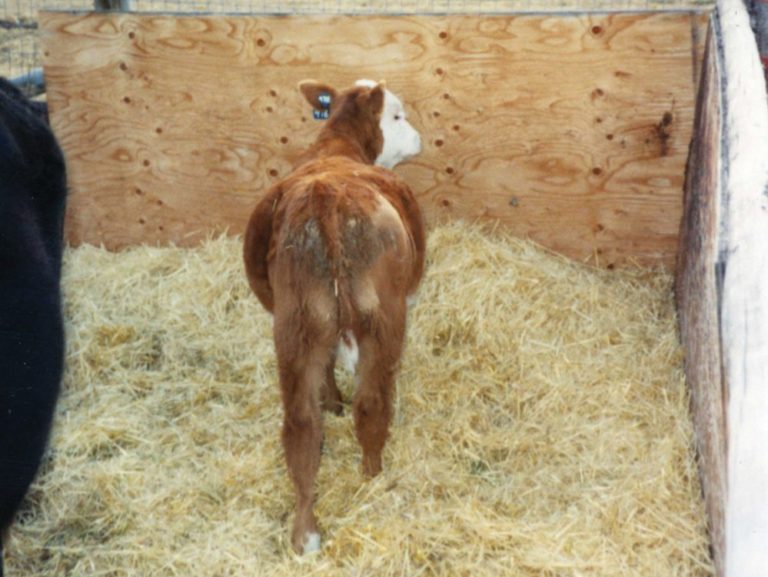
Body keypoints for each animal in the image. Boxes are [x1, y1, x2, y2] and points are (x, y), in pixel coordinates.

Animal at [243, 79, 425, 554]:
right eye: (397, 115)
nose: (419, 140)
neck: (337, 146)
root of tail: (326, 197)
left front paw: (332, 402)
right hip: (385, 321)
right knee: (373, 404)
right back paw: (372, 476)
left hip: (295, 325)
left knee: (302, 425)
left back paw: (305, 532)